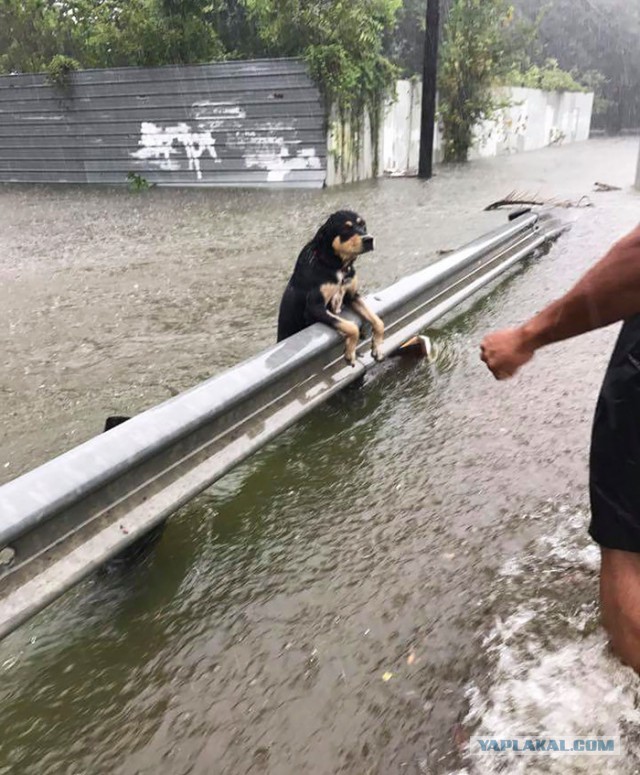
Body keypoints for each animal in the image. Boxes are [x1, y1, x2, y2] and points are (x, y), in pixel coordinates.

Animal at [276, 206, 384, 364]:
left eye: (363, 225)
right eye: (346, 228)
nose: (369, 239)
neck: (336, 265)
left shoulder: (352, 296)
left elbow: (378, 321)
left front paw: (378, 347)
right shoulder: (314, 308)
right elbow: (351, 327)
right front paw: (350, 352)